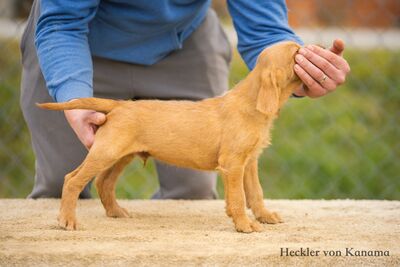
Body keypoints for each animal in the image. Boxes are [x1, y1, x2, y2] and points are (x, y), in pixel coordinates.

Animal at [38, 40, 304, 233]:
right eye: (297, 52)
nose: (313, 48)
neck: (250, 102)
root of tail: (119, 105)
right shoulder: (233, 164)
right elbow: (239, 197)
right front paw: (244, 225)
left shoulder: (249, 162)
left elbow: (255, 193)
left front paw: (265, 216)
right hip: (106, 152)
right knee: (72, 179)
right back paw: (67, 220)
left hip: (121, 155)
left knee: (104, 182)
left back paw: (116, 211)